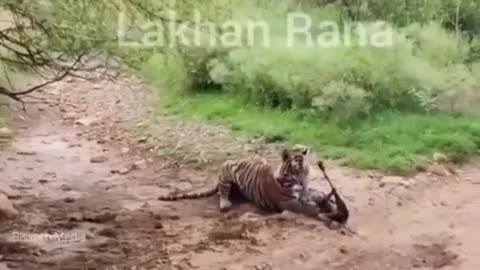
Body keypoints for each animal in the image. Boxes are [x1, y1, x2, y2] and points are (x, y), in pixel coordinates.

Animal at [158, 147, 318, 216]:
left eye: (305, 170)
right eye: (294, 171)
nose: (303, 183)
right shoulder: (286, 202)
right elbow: (307, 209)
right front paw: (317, 210)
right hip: (226, 174)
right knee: (222, 193)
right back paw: (225, 204)